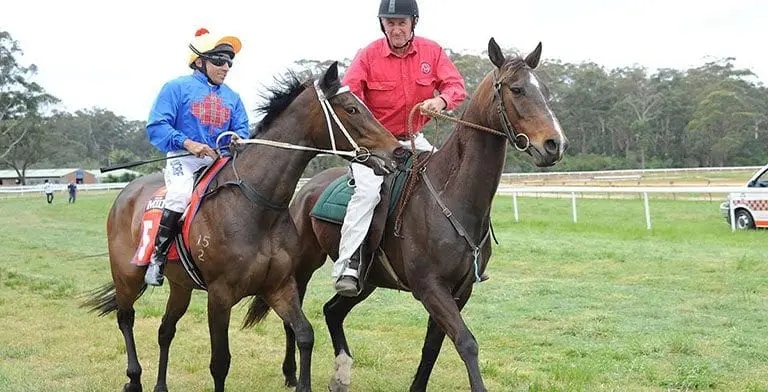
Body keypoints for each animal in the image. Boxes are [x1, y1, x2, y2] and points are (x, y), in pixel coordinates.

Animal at [85, 62, 404, 392]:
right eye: (352, 108)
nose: (398, 151)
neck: (255, 206)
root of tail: (127, 191)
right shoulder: (219, 295)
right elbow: (220, 361)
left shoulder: (279, 285)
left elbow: (304, 334)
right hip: (127, 275)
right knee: (126, 318)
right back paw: (134, 378)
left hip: (180, 285)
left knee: (165, 330)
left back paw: (160, 385)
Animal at [284, 37, 568, 392]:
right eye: (516, 89)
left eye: (544, 89)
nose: (555, 144)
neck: (451, 196)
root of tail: (306, 189)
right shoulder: (431, 288)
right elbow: (466, 342)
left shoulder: (459, 291)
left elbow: (433, 345)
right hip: (304, 266)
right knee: (292, 315)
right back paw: (291, 373)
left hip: (368, 280)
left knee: (332, 312)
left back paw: (341, 373)